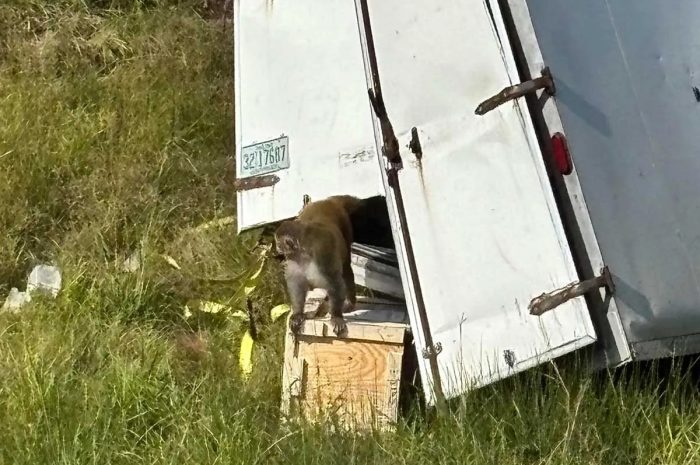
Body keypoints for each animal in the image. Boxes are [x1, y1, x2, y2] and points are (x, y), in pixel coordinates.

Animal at [274, 195, 363, 336]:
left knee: (346, 268)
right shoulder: (294, 259)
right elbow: (297, 284)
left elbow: (334, 282)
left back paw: (349, 302)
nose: (277, 248)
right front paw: (298, 313)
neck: (304, 252)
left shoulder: (322, 253)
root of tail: (328, 201)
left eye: (278, 243)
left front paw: (336, 316)